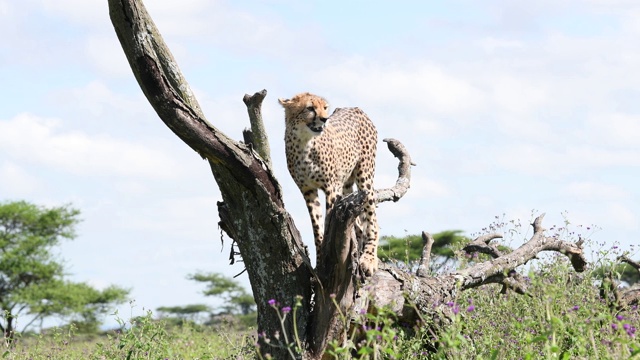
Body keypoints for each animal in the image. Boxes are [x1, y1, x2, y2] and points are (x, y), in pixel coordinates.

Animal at [276, 93, 378, 276]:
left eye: (324, 107)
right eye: (310, 108)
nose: (324, 119)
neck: (304, 141)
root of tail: (356, 108)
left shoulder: (331, 187)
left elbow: (329, 217)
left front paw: (330, 257)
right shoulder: (308, 191)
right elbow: (317, 227)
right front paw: (319, 262)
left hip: (364, 176)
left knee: (372, 219)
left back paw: (368, 259)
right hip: (347, 184)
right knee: (359, 225)